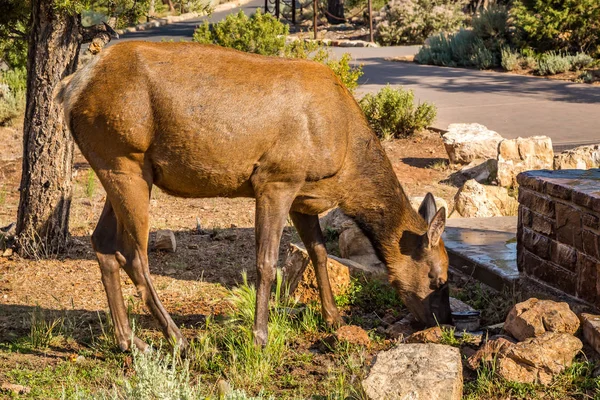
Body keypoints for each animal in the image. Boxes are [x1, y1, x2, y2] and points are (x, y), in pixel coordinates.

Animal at [58, 40, 452, 350]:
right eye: (438, 279)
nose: (444, 322)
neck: (346, 164)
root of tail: (69, 89)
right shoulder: (276, 178)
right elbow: (266, 263)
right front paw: (259, 336)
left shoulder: (303, 197)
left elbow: (320, 253)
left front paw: (334, 318)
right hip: (124, 158)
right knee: (133, 254)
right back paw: (176, 338)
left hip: (118, 167)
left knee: (102, 243)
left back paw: (130, 340)